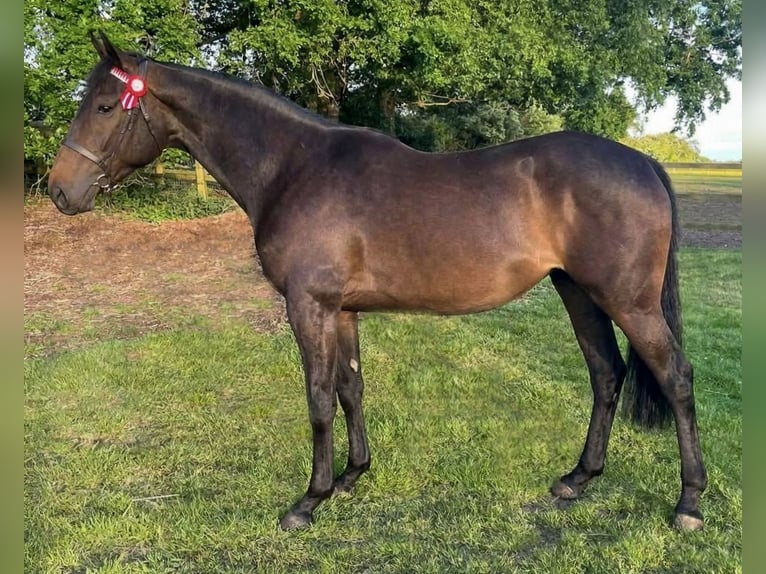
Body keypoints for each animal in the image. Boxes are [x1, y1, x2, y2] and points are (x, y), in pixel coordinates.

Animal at [47, 32, 707, 531]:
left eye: (104, 106)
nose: (59, 191)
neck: (294, 167)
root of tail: (643, 161)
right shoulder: (341, 309)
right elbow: (350, 388)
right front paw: (351, 476)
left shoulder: (308, 306)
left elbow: (317, 398)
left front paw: (307, 502)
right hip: (577, 291)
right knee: (606, 374)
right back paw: (578, 478)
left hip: (627, 301)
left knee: (674, 377)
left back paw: (689, 503)